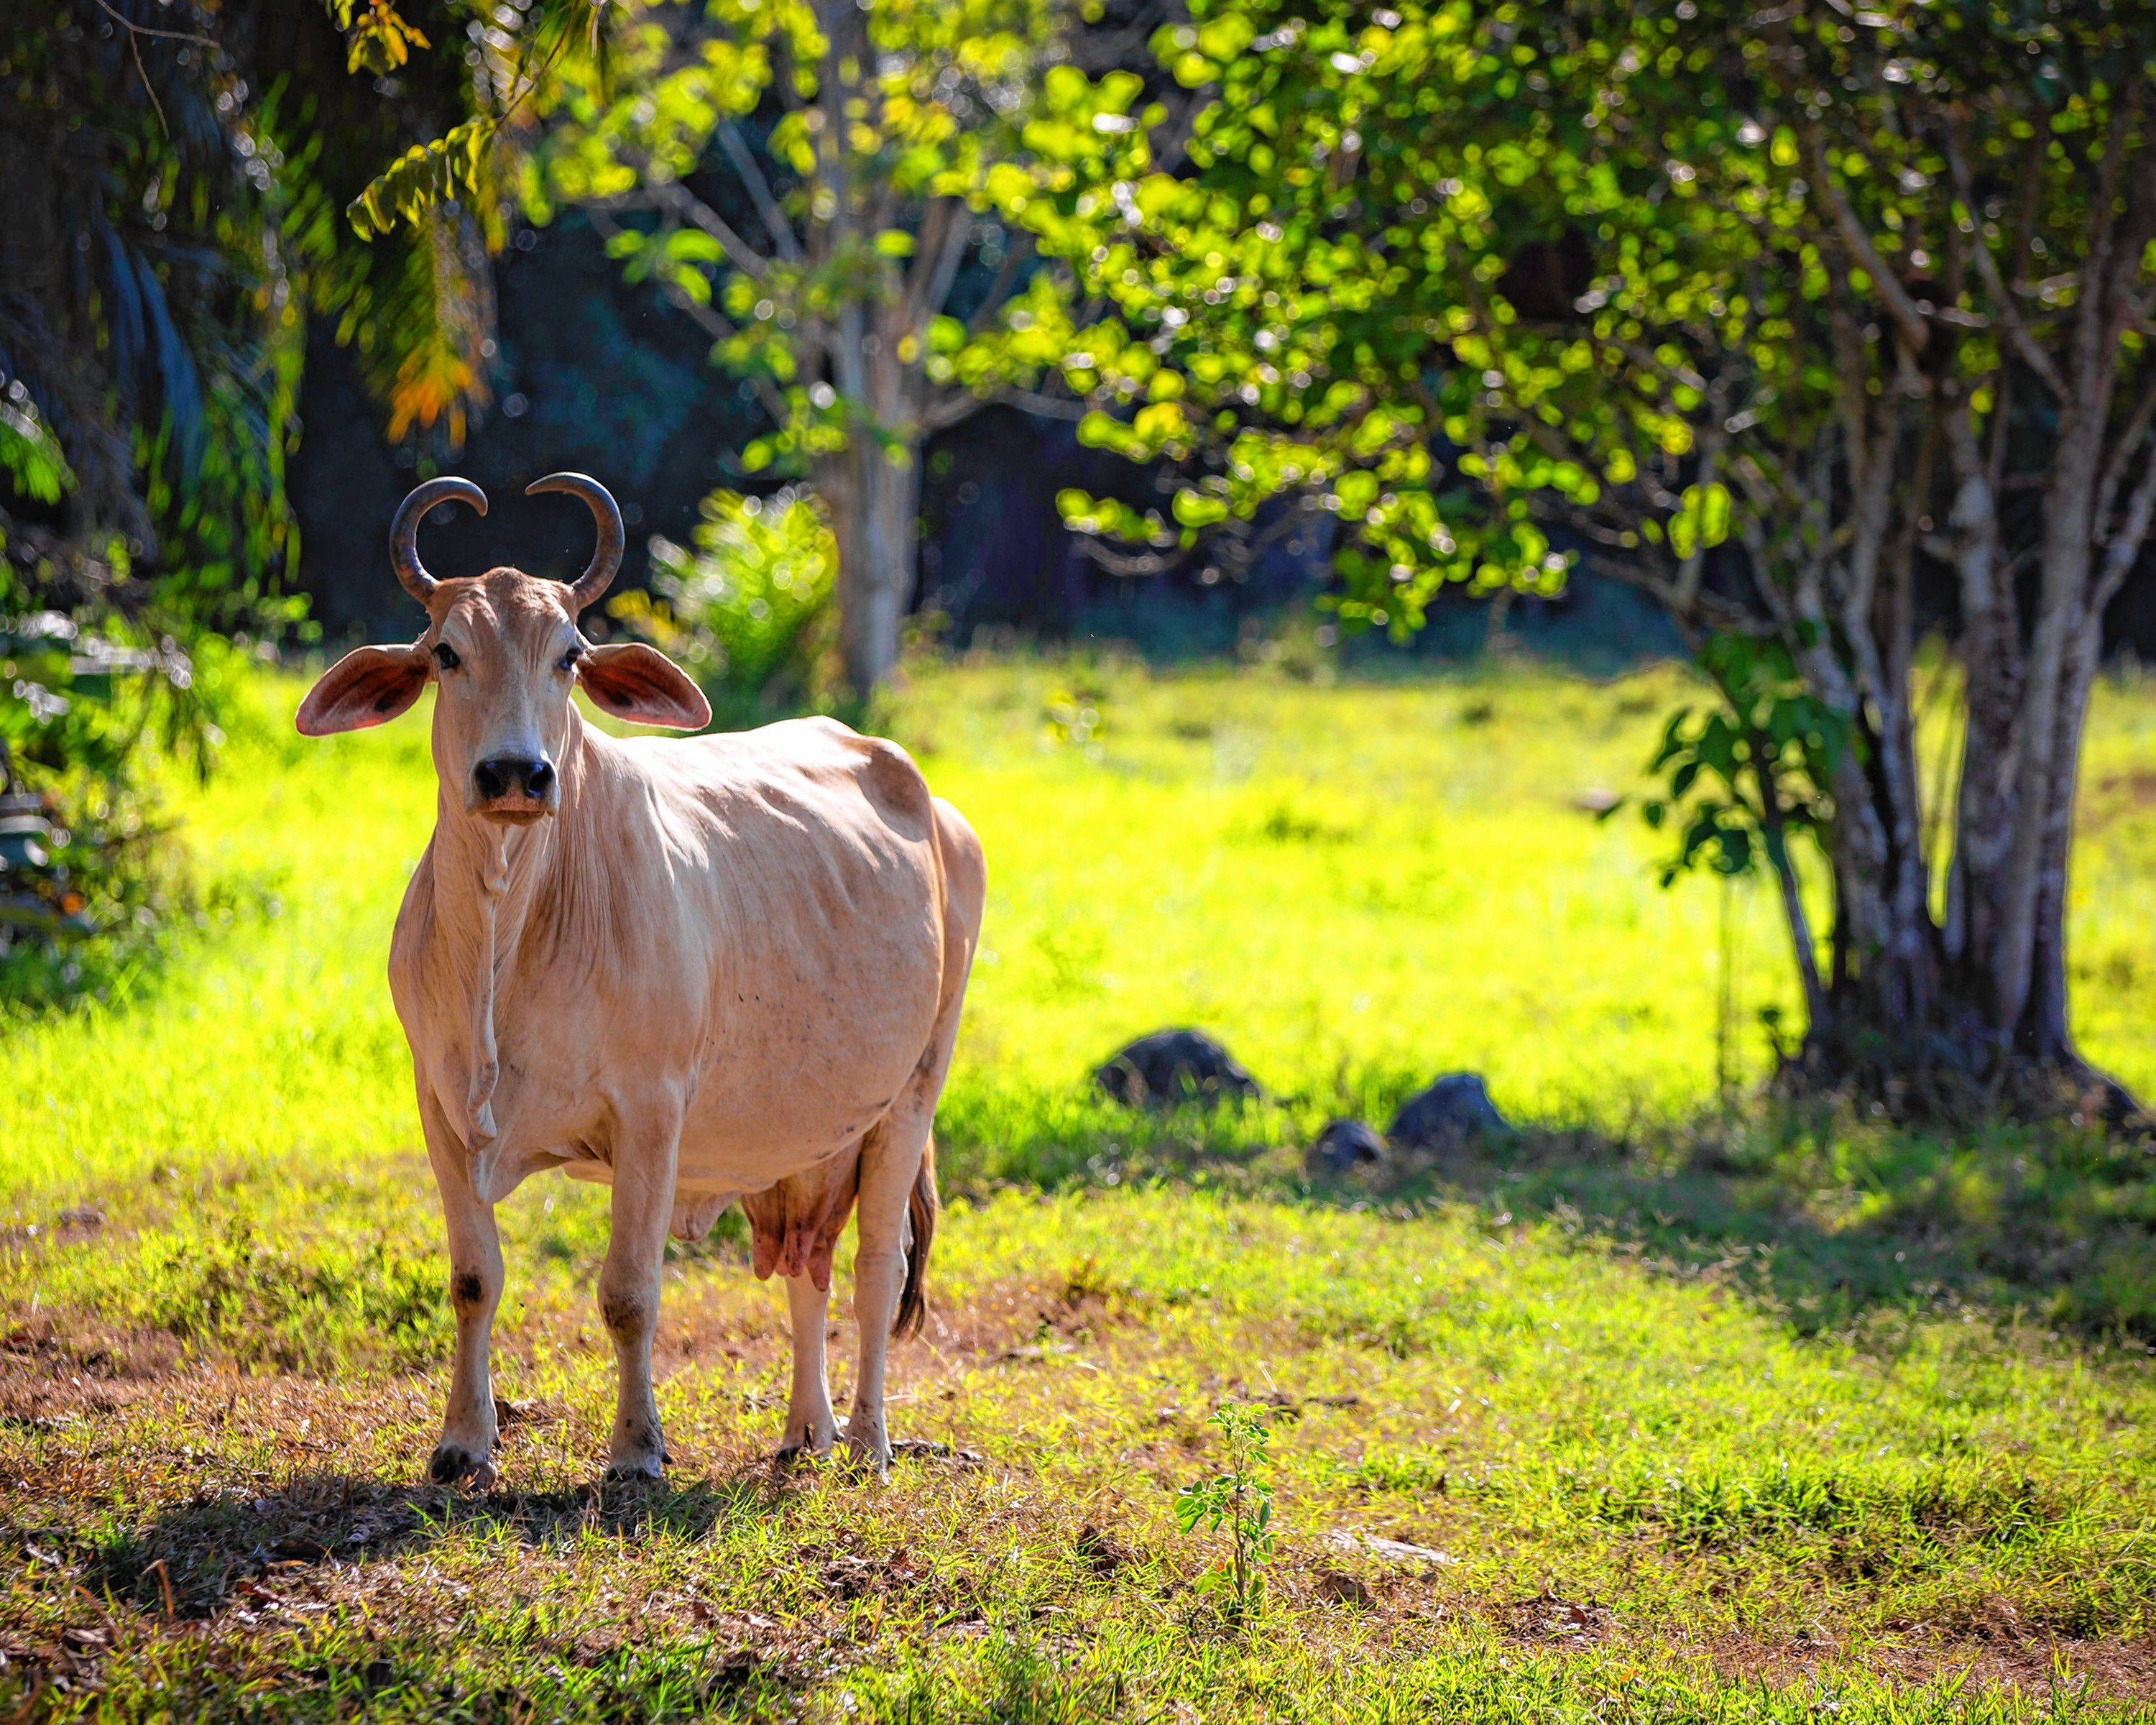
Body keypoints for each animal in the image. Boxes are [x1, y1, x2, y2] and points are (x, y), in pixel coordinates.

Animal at [295, 474, 987, 1484]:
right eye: (447, 653)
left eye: (570, 658)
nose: (515, 774)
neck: (508, 928)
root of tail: (928, 799)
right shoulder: (440, 1106)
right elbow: (473, 1279)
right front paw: (463, 1445)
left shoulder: (652, 1113)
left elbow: (628, 1293)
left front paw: (636, 1451)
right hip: (804, 1138)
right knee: (806, 1268)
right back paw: (804, 1433)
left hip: (913, 1093)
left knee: (875, 1270)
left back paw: (868, 1442)